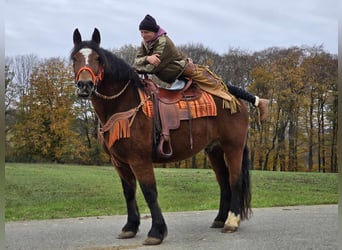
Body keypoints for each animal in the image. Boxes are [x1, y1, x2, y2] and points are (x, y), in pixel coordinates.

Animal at [70, 28, 251, 245]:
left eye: (98, 58)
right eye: (74, 58)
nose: (85, 85)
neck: (124, 104)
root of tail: (234, 99)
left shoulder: (139, 159)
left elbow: (149, 192)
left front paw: (156, 231)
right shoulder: (119, 161)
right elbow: (129, 192)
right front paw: (130, 227)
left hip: (233, 147)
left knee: (235, 180)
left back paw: (232, 221)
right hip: (214, 150)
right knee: (224, 183)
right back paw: (220, 219)